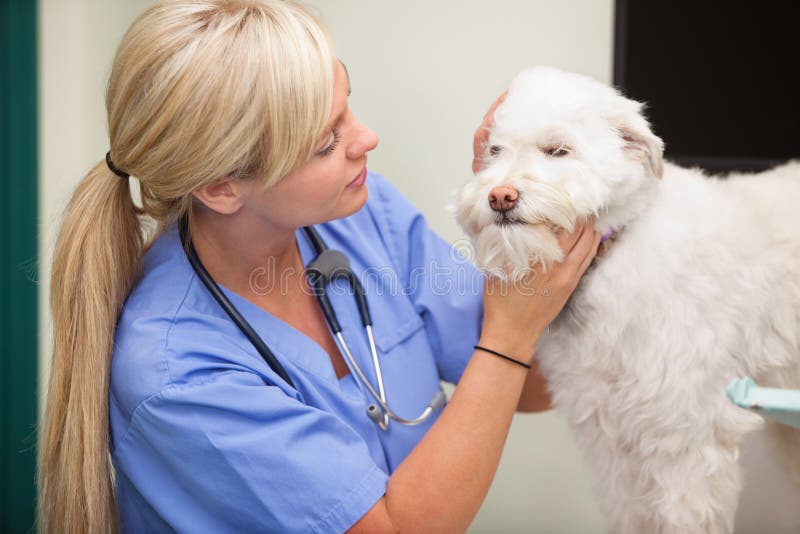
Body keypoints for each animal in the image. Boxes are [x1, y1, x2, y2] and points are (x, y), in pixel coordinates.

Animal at [456, 68, 800, 534]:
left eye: (558, 150)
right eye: (494, 151)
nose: (499, 197)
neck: (611, 257)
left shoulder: (688, 441)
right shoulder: (611, 441)